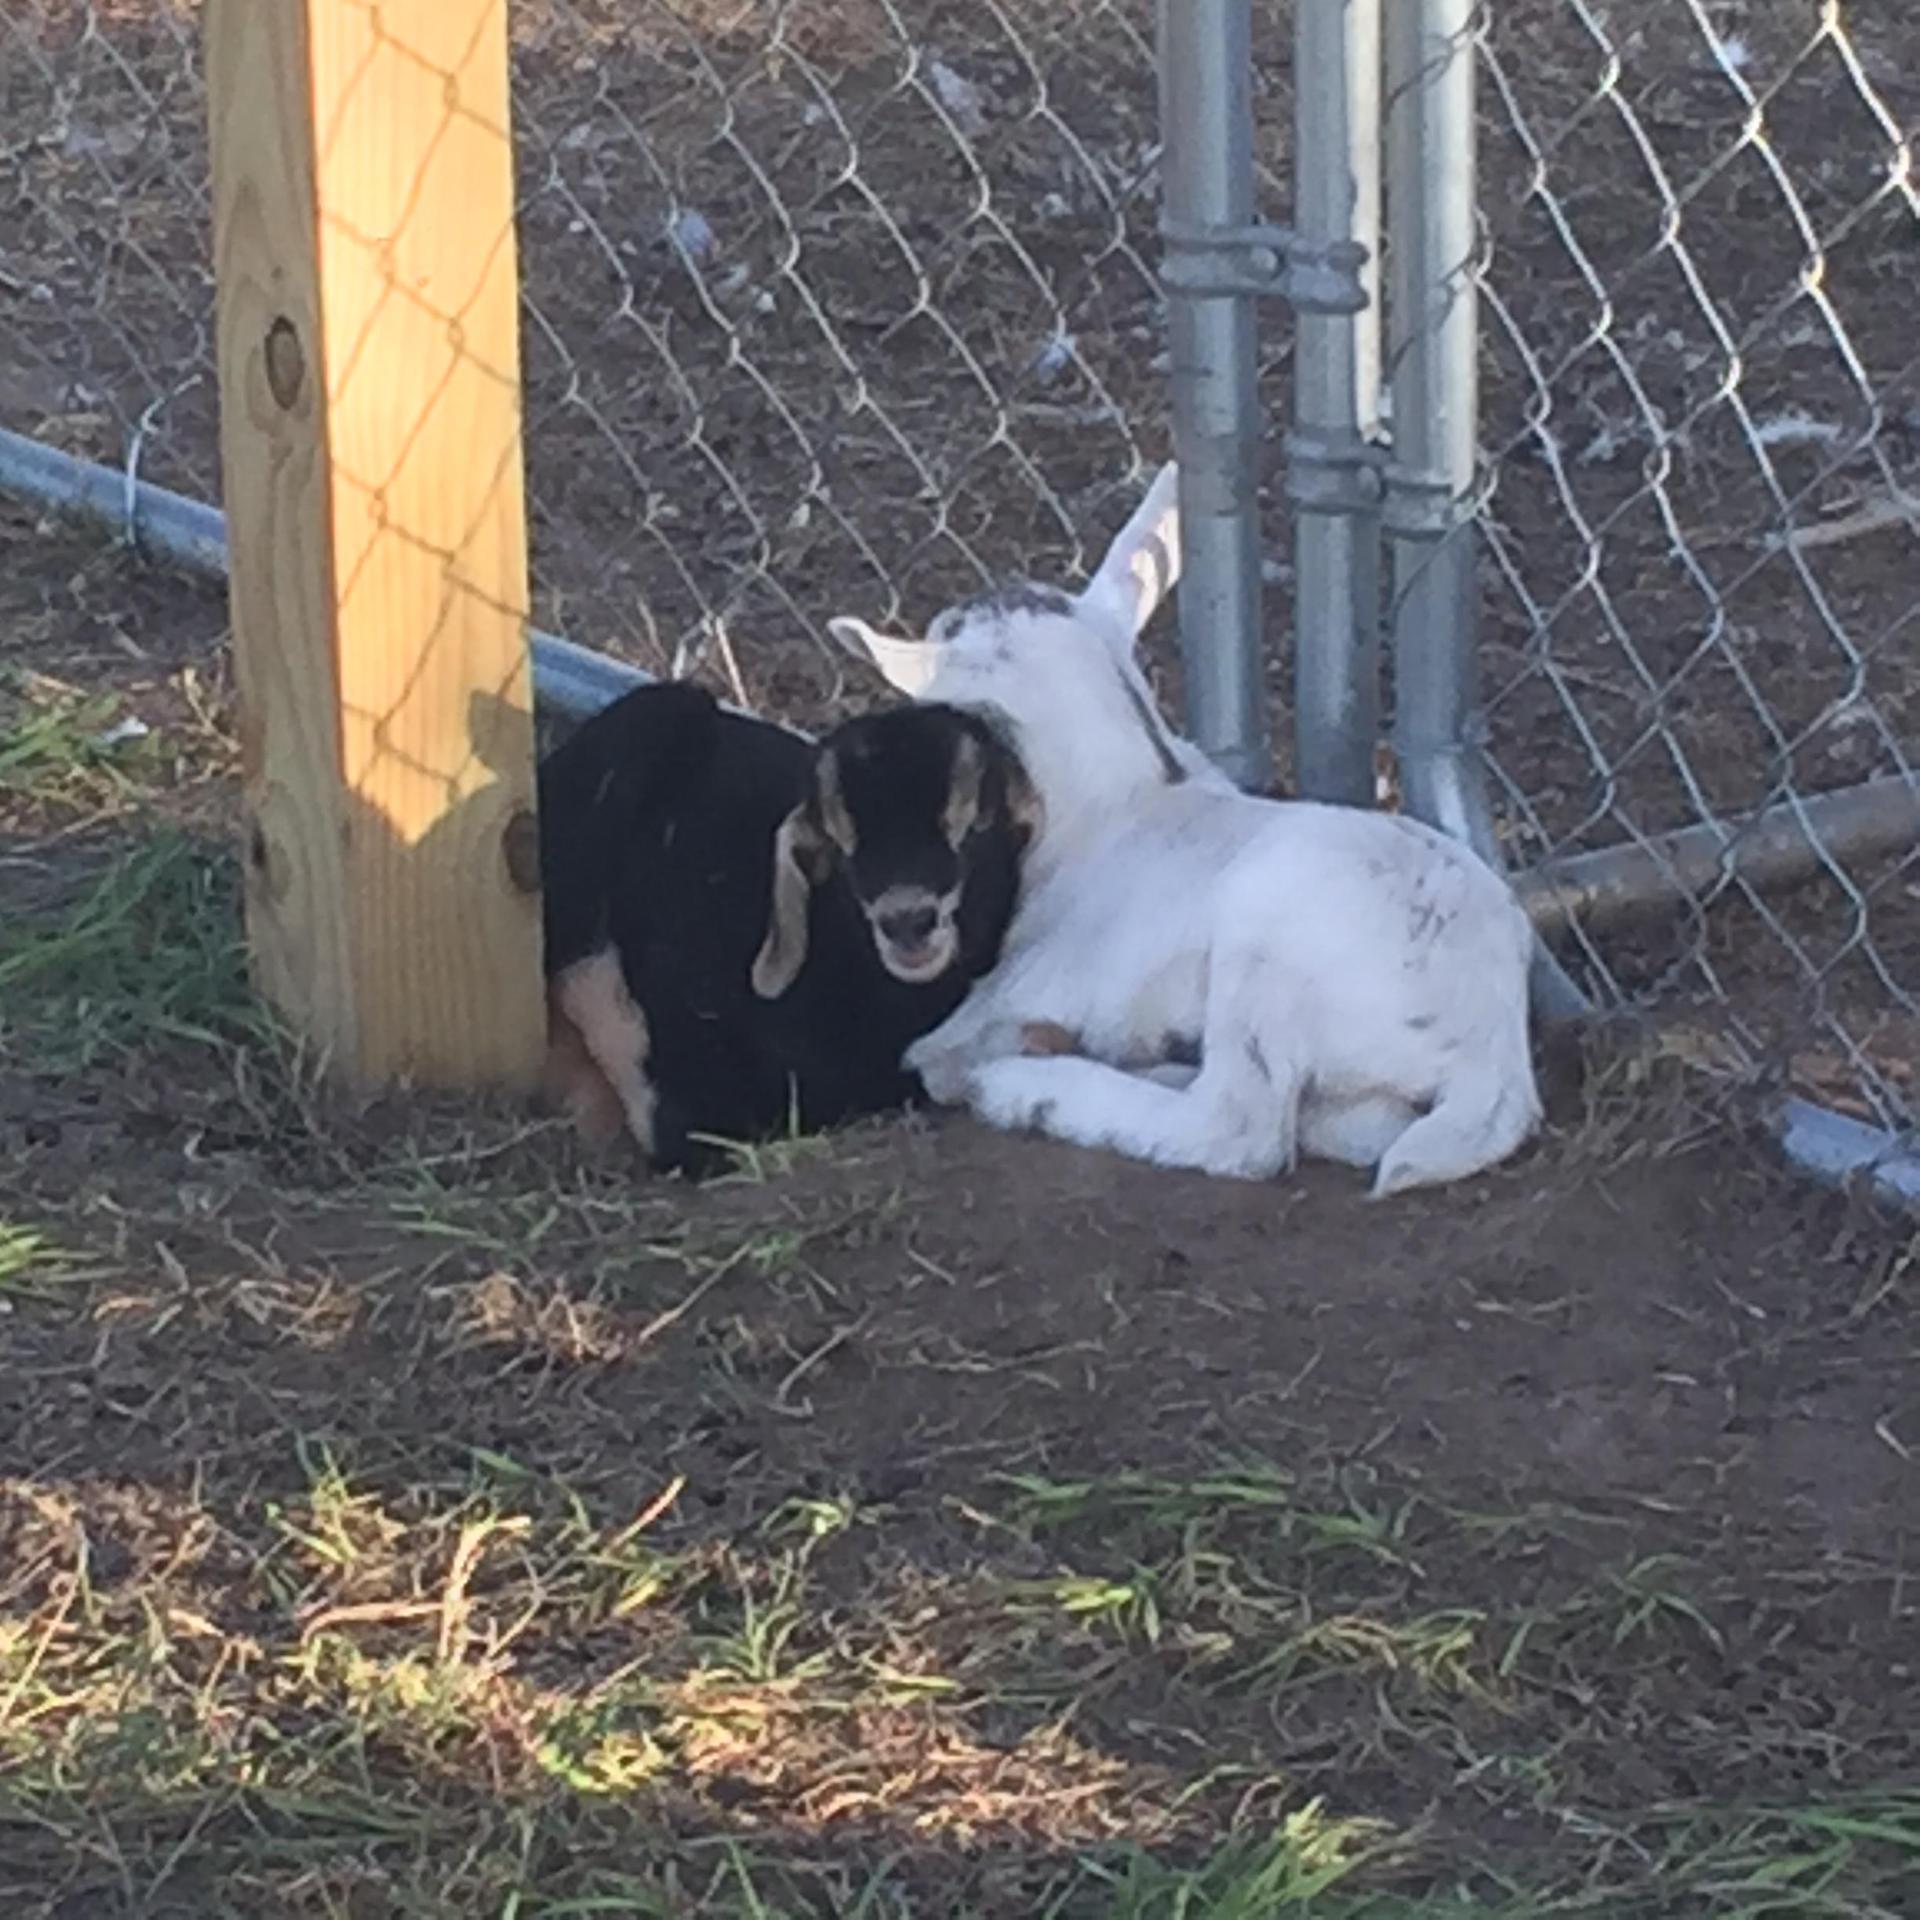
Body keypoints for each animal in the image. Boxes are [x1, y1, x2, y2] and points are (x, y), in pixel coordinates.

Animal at [826, 463, 1544, 1196]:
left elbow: (935, 1058)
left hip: (1262, 953)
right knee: (1353, 1129)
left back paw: (1030, 1089)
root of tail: (1493, 1052)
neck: (1126, 799)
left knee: (1241, 1128)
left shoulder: (1015, 996)